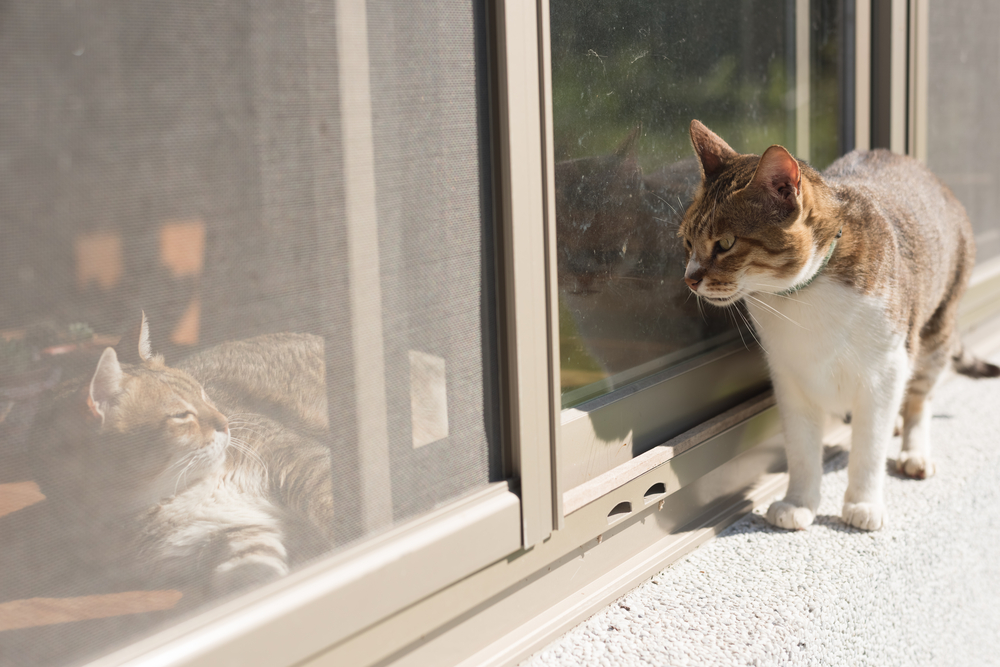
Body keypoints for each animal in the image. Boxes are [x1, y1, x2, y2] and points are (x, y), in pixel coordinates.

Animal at [29, 316, 334, 596]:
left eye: (203, 394)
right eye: (181, 415)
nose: (226, 423)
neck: (175, 494)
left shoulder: (297, 463)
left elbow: (327, 506)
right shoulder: (231, 533)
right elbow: (252, 571)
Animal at [680, 120, 1000, 532]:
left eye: (726, 243)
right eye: (688, 243)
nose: (689, 279)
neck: (802, 296)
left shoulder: (886, 368)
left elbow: (869, 444)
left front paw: (863, 503)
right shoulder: (789, 375)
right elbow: (801, 446)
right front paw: (798, 502)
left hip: (937, 325)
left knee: (920, 396)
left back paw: (913, 449)